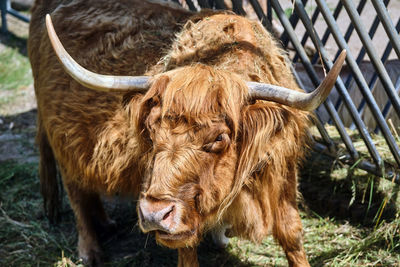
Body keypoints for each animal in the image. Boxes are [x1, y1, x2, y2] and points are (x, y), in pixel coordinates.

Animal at [29, 0, 346, 266]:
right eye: (151, 132)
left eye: (219, 138)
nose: (154, 214)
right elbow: (187, 251)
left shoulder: (283, 172)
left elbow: (291, 233)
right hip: (64, 138)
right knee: (76, 192)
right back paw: (90, 251)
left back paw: (105, 223)